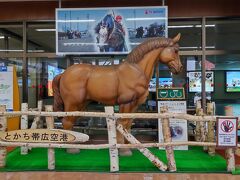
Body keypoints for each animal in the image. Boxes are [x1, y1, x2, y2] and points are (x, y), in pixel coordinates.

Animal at [53, 34, 183, 156]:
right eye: (175, 50)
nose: (179, 68)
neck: (136, 70)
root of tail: (64, 74)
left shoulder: (135, 105)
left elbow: (128, 125)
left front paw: (129, 145)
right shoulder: (126, 103)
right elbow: (122, 124)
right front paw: (123, 150)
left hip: (80, 105)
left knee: (69, 121)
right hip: (73, 103)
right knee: (67, 122)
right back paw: (71, 148)